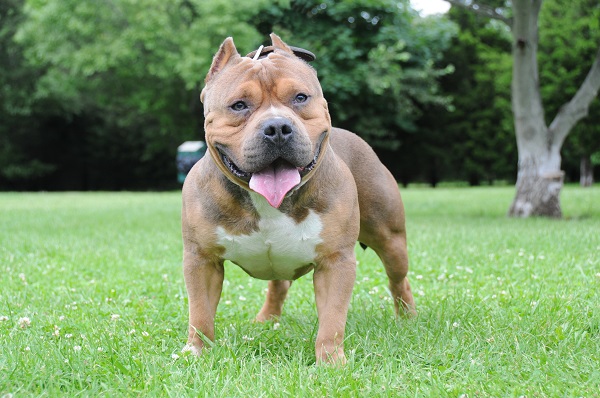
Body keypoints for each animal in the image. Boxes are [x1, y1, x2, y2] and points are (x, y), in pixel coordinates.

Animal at [183, 34, 414, 364]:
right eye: (238, 105)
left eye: (301, 98)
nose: (277, 127)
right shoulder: (202, 260)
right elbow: (200, 313)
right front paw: (196, 352)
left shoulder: (335, 262)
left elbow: (332, 320)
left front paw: (330, 361)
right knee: (278, 284)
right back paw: (266, 320)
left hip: (391, 240)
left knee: (398, 278)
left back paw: (408, 318)